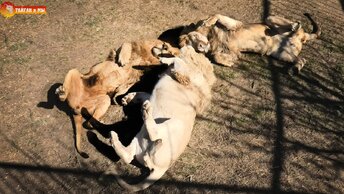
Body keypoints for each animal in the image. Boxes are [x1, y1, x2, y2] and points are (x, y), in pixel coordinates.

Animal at [103, 45, 215, 192]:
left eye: (166, 47)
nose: (155, 48)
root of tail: (162, 168)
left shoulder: (185, 73)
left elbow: (177, 60)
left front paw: (164, 59)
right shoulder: (150, 94)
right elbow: (143, 94)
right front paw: (128, 97)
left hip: (171, 124)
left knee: (155, 135)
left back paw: (146, 113)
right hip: (137, 142)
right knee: (129, 156)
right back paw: (114, 136)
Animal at [179, 12, 322, 73]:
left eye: (190, 37)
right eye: (187, 44)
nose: (200, 47)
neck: (211, 37)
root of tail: (303, 37)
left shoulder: (236, 24)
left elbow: (216, 16)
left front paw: (207, 21)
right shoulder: (233, 51)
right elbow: (216, 56)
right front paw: (230, 62)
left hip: (270, 19)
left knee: (285, 23)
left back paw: (295, 26)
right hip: (281, 54)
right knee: (302, 60)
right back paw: (294, 69)